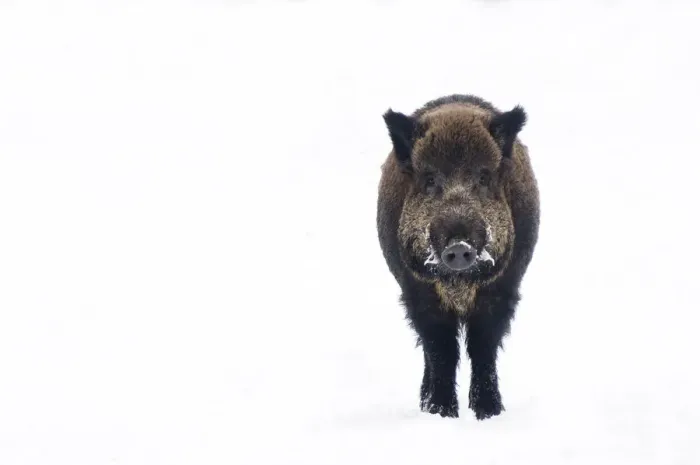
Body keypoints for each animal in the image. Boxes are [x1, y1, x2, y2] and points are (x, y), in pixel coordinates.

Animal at [376, 94, 540, 420]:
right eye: (429, 179)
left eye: (484, 177)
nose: (459, 246)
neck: (459, 285)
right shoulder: (418, 293)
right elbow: (441, 350)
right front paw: (441, 414)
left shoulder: (502, 290)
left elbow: (483, 347)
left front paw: (489, 414)